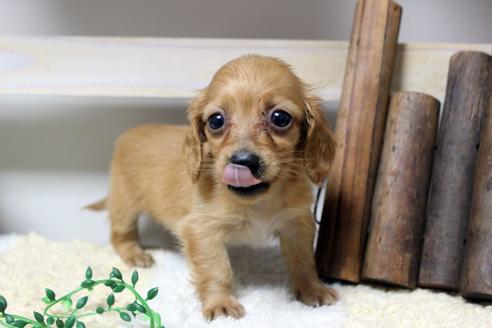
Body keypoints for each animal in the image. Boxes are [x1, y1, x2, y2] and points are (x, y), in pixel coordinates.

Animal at [87, 55, 338, 320]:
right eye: (216, 121)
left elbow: (304, 262)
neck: (257, 202)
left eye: (280, 117)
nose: (243, 162)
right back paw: (136, 254)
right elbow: (217, 269)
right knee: (120, 235)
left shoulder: (297, 225)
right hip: (125, 205)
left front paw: (313, 290)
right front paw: (221, 303)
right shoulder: (202, 231)